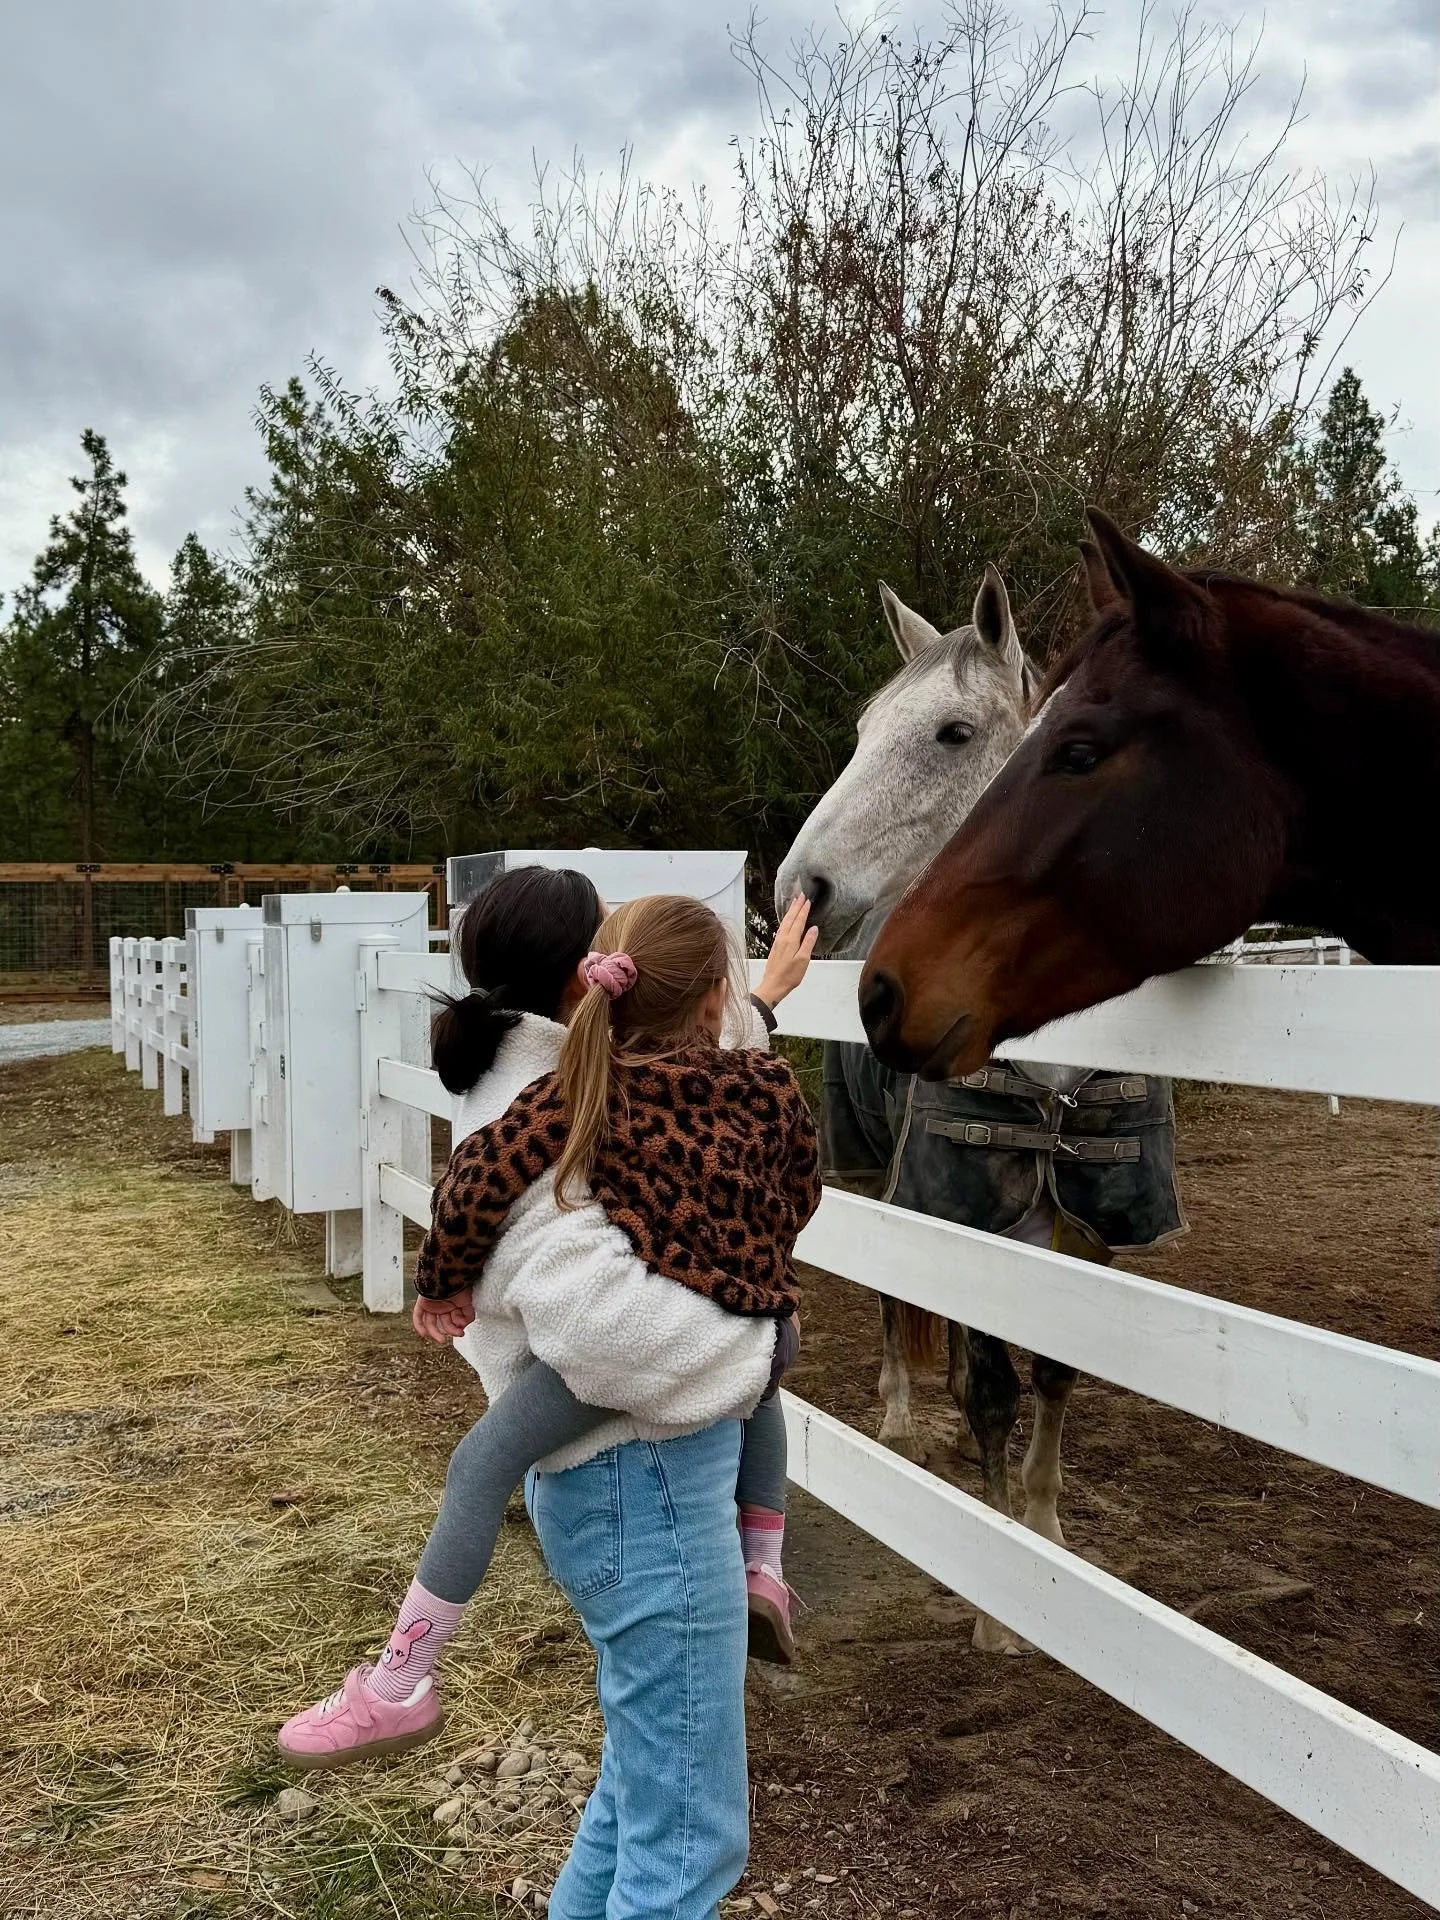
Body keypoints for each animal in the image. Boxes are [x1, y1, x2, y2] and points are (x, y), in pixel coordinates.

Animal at [777, 567, 1183, 1652]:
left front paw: (1042, 1527)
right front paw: (1001, 1606)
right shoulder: (965, 1208)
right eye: (863, 729)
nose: (801, 886)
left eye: (952, 733)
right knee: (894, 1300)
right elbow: (999, 1388)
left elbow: (1053, 1377)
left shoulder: (1087, 1228)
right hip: (877, 1173)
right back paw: (901, 1415)